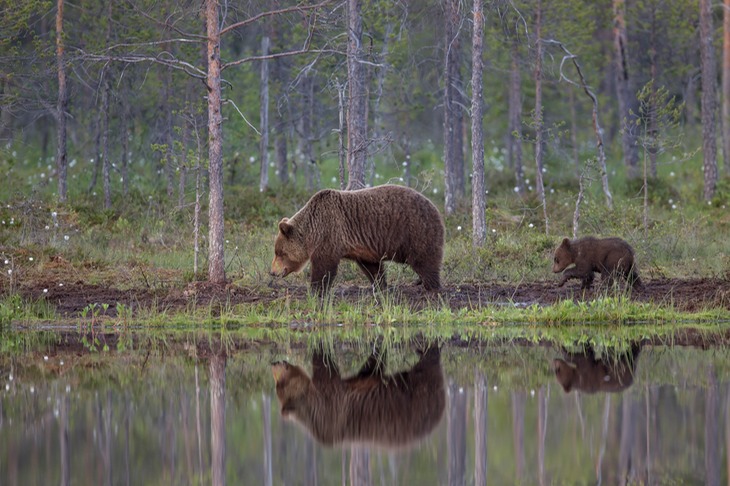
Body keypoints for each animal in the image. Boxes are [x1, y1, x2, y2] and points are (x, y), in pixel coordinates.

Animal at [270, 185, 444, 292]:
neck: (312, 231)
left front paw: (316, 288)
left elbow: (324, 266)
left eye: (280, 252)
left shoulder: (329, 233)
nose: (272, 272)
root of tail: (435, 207)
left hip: (416, 230)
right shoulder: (364, 248)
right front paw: (379, 285)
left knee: (425, 260)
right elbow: (372, 267)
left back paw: (431, 285)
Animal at [270, 346, 444, 448]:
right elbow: (371, 369)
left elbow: (326, 370)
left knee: (427, 369)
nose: (274, 363)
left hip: (418, 398)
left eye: (279, 385)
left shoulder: (328, 408)